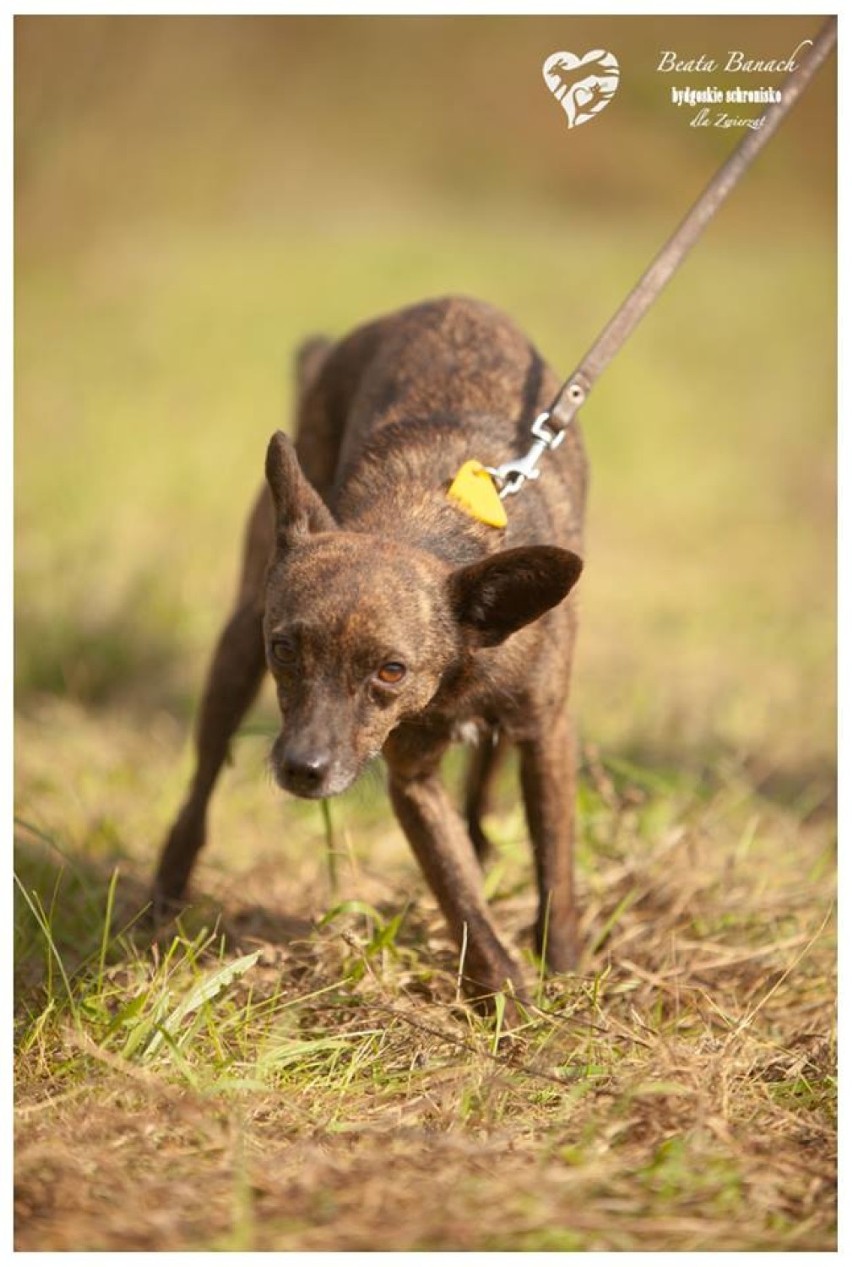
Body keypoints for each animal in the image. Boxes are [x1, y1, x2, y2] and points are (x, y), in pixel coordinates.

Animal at [153, 293, 588, 1008]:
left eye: (392, 670)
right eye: (285, 649)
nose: (303, 770)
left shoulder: (546, 735)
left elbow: (554, 861)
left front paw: (565, 971)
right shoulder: (410, 779)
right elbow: (458, 896)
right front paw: (509, 1002)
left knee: (485, 786)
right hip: (234, 649)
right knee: (201, 781)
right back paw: (163, 892)